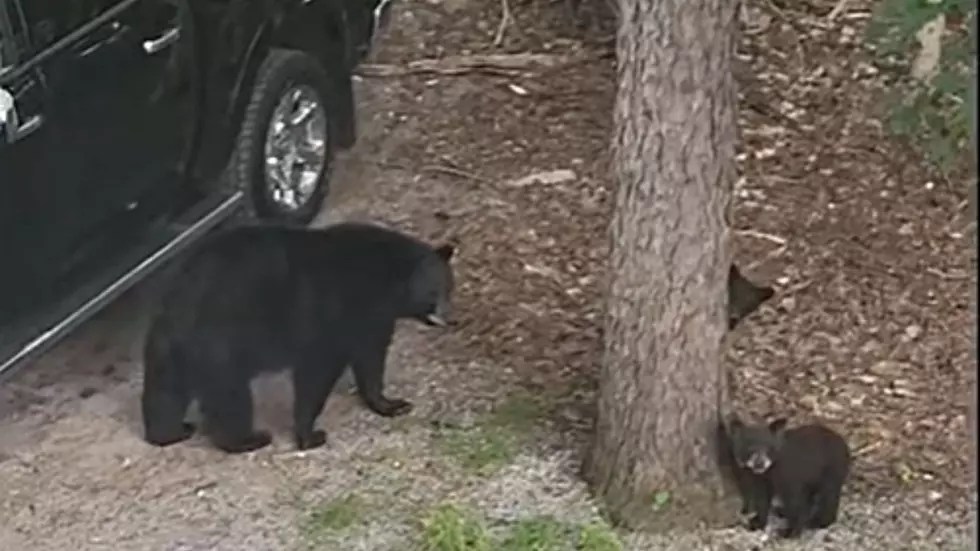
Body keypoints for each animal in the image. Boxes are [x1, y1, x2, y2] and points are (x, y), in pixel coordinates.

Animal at [140, 222, 458, 454]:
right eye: (434, 291)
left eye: (449, 287)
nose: (451, 317)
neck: (382, 285)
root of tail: (178, 305)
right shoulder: (334, 312)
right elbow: (317, 372)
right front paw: (310, 435)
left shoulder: (370, 320)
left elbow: (370, 358)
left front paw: (391, 404)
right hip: (220, 343)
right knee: (231, 397)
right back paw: (248, 439)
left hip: (167, 349)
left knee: (164, 394)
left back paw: (170, 432)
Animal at [720, 414, 848, 540]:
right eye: (749, 448)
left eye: (768, 447)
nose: (759, 463)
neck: (770, 470)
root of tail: (844, 444)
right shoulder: (760, 479)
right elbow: (762, 499)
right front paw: (758, 523)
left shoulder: (790, 477)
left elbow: (795, 503)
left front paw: (790, 532)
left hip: (832, 471)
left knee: (829, 496)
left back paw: (819, 522)